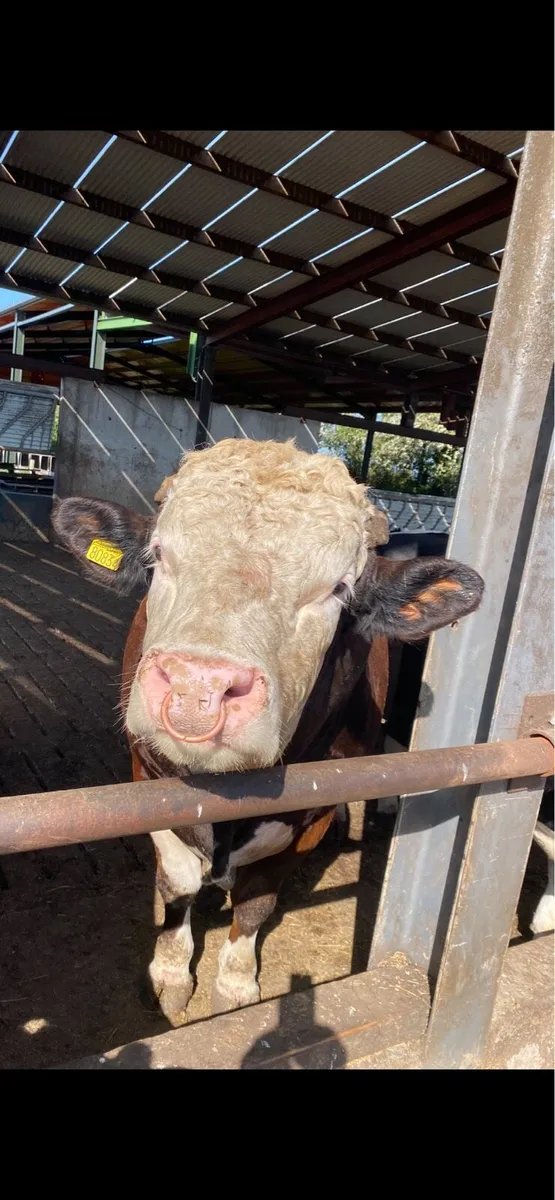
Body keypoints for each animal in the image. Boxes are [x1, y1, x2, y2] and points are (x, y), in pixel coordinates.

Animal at [52, 439, 484, 1025]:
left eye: (338, 588)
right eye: (159, 555)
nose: (198, 686)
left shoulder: (310, 811)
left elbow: (257, 900)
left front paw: (235, 985)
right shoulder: (146, 773)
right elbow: (177, 883)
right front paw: (170, 971)